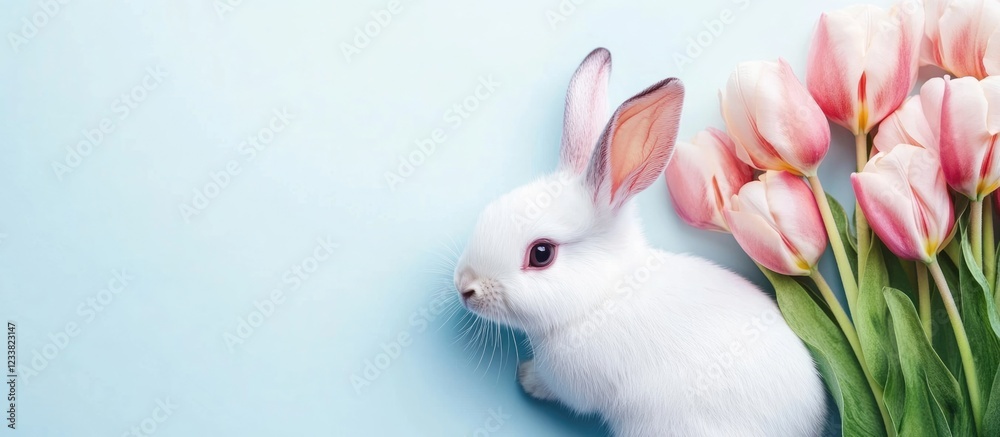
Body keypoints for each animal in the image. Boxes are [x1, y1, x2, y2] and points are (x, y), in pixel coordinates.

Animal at [452, 47, 827, 437]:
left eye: (541, 254)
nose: (465, 287)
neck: (599, 298)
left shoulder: (572, 383)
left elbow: (555, 388)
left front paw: (525, 377)